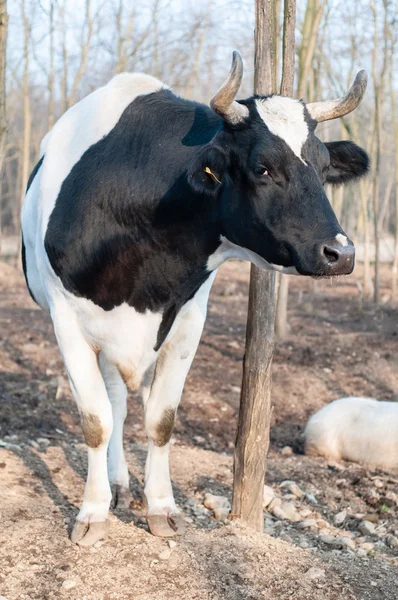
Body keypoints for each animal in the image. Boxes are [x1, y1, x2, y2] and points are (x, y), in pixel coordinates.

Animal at [21, 54, 370, 548]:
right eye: (263, 167)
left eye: (323, 167)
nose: (342, 253)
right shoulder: (66, 319)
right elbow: (95, 421)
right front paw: (91, 513)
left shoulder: (187, 320)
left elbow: (160, 419)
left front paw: (161, 508)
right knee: (114, 402)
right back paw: (114, 484)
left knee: (124, 398)